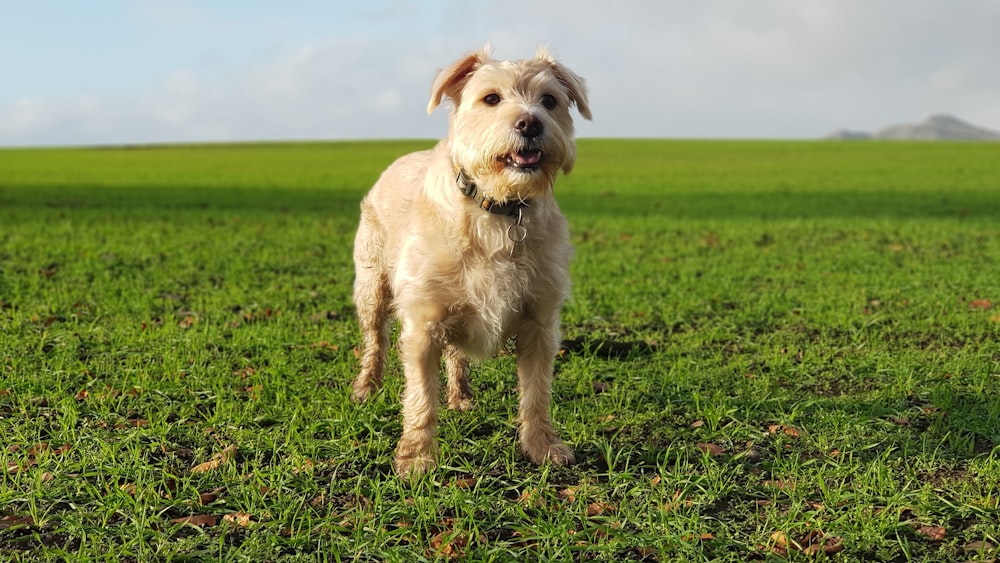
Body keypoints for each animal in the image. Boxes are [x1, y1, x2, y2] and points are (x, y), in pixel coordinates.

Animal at [350, 46, 588, 476]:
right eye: (491, 98)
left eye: (549, 100)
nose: (530, 122)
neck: (498, 211)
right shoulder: (423, 323)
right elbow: (420, 398)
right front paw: (416, 457)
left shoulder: (540, 323)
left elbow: (536, 393)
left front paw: (541, 446)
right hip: (372, 288)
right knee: (375, 340)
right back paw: (366, 387)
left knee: (456, 353)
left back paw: (460, 396)